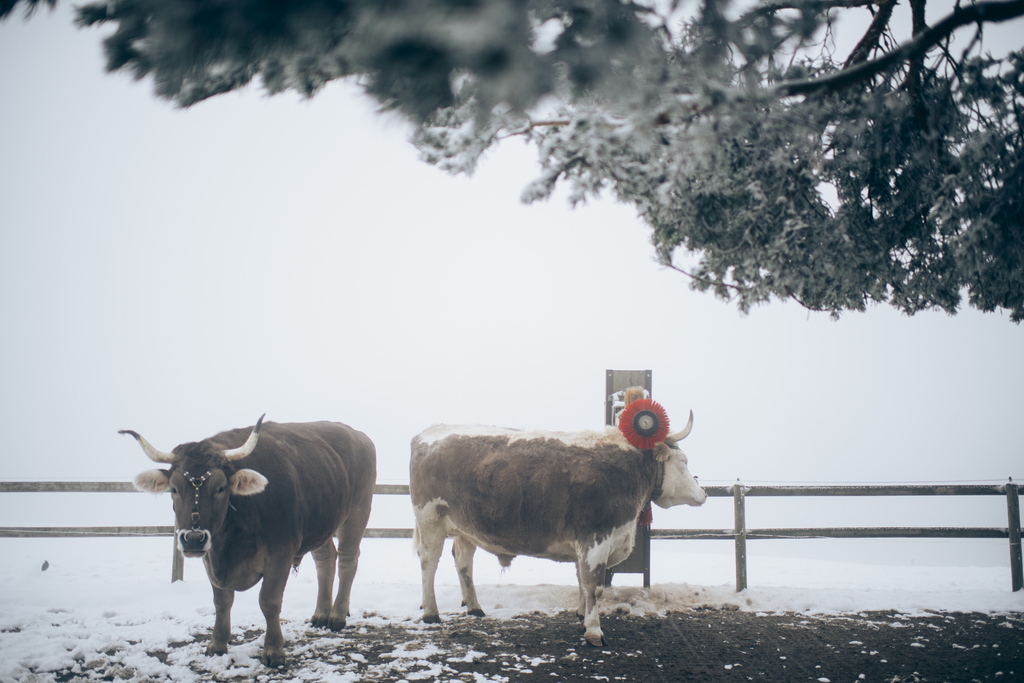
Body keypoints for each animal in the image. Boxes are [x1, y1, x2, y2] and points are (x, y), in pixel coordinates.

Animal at [124, 417, 376, 667]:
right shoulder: (210, 558)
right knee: (326, 560)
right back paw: (321, 614)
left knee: (347, 561)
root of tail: (358, 435)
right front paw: (217, 644)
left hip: (357, 510)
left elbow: (269, 601)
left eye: (220, 487)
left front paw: (274, 650)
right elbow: (222, 601)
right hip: (320, 524)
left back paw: (337, 616)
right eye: (175, 489)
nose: (194, 539)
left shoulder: (280, 553)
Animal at [407, 411, 704, 647]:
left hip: (467, 527)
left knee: (463, 561)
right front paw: (594, 631)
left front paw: (582, 617)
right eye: (684, 462)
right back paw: (431, 613)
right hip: (431, 518)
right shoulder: (595, 539)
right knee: (429, 562)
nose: (702, 493)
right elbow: (594, 585)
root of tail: (428, 432)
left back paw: (474, 608)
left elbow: (583, 582)